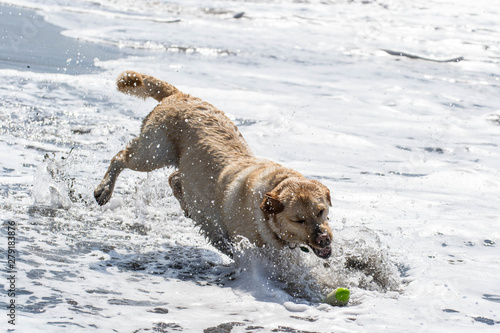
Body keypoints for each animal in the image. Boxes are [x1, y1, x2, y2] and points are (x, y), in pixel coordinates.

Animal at [95, 71, 334, 258]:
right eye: (298, 220)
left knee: (174, 178)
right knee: (120, 157)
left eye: (321, 211)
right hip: (154, 152)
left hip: (183, 165)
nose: (324, 239)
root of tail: (179, 94)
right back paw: (103, 190)